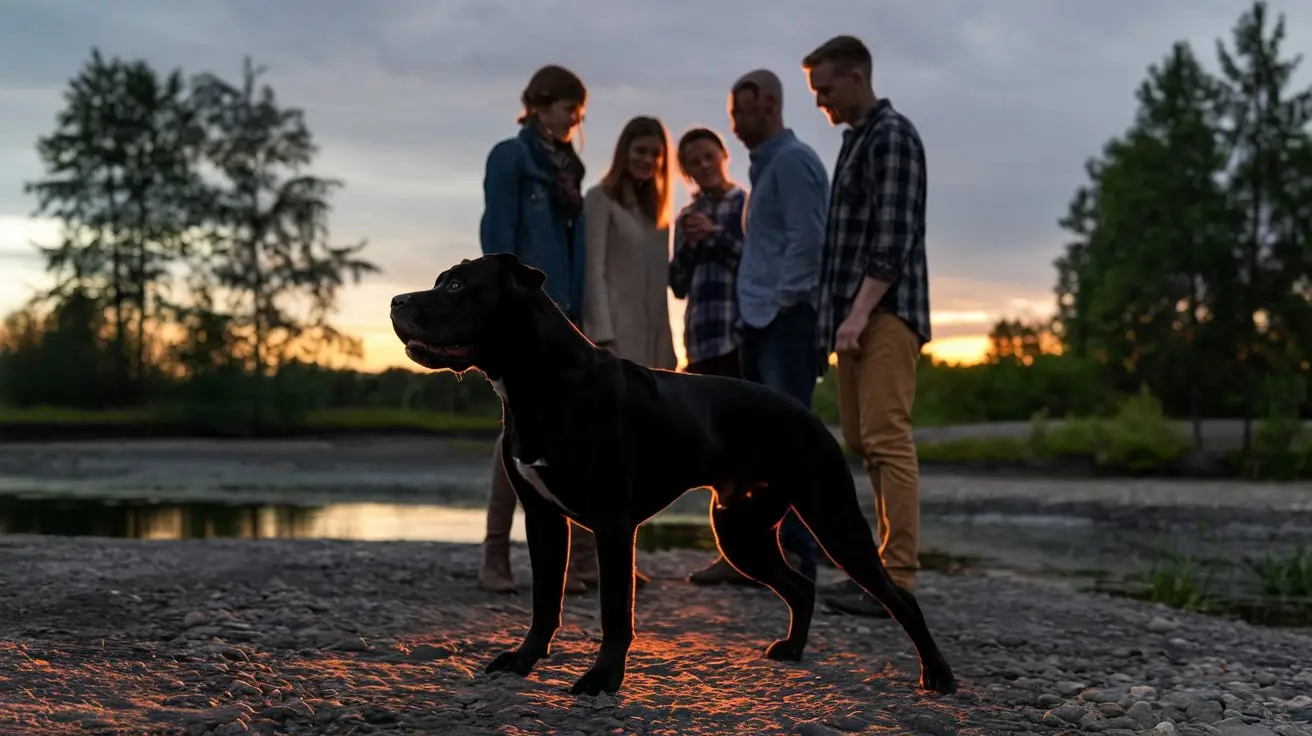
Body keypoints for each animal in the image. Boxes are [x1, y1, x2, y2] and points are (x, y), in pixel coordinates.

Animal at [385, 251, 955, 692]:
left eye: (456, 285)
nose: (396, 301)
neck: (540, 382)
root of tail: (807, 413)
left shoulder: (613, 525)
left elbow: (615, 610)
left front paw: (603, 679)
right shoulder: (543, 519)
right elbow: (545, 601)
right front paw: (524, 662)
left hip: (832, 519)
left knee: (899, 598)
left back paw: (938, 675)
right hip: (740, 533)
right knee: (800, 587)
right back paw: (793, 650)